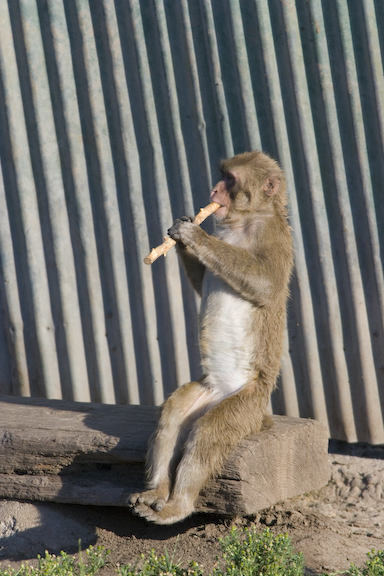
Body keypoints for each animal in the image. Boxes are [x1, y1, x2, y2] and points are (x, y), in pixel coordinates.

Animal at [130, 151, 294, 524]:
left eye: (230, 179)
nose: (214, 189)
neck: (244, 222)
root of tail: (221, 393)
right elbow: (202, 280)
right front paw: (181, 231)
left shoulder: (274, 235)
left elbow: (266, 284)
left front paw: (194, 235)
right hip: (206, 392)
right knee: (174, 414)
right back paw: (157, 492)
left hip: (246, 405)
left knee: (208, 433)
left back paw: (177, 505)